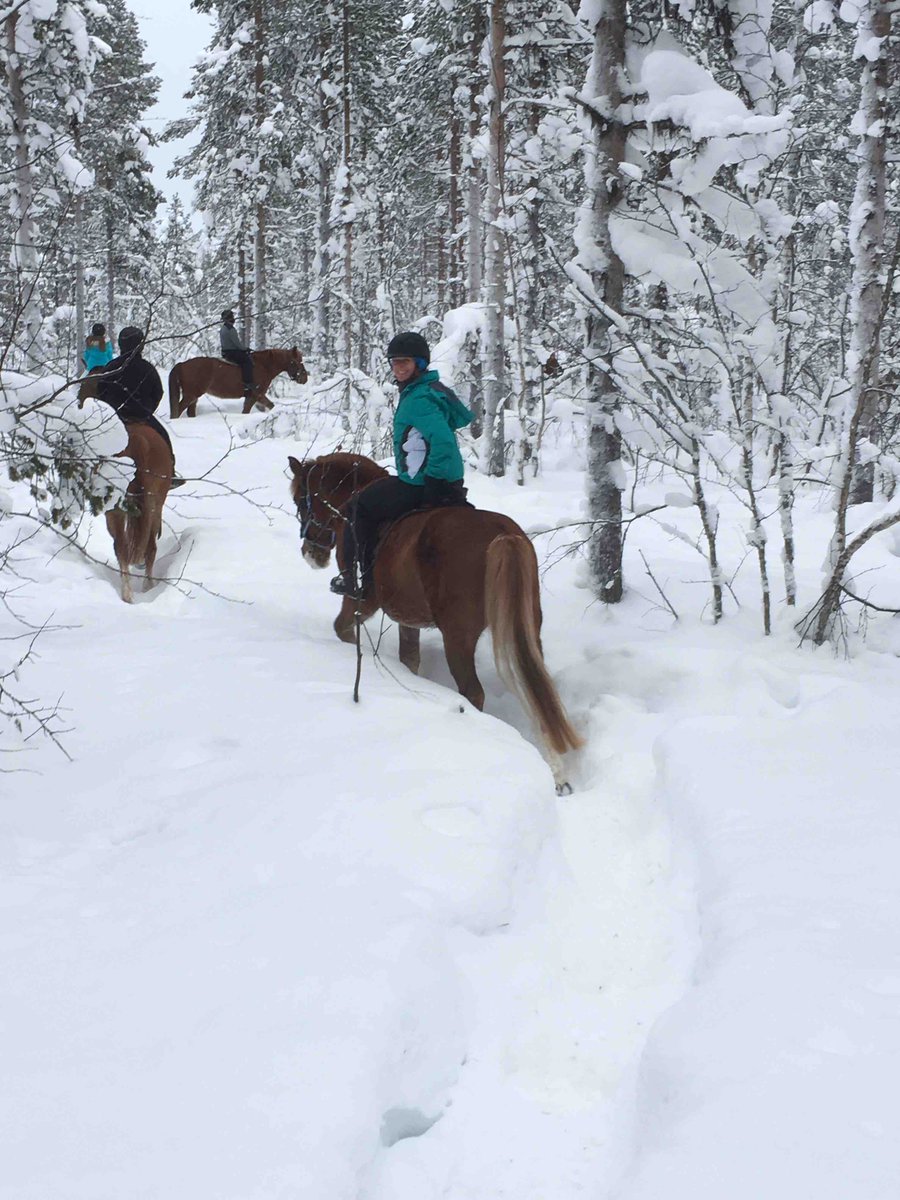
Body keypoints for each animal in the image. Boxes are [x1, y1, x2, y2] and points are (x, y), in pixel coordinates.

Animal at [105, 423, 173, 603]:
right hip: (154, 507)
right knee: (150, 548)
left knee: (121, 546)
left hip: (114, 507)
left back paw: (127, 593)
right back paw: (145, 587)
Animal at [168, 346, 308, 418]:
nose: (304, 378)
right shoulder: (257, 395)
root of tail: (182, 364)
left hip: (193, 397)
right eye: (296, 362)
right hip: (190, 395)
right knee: (178, 410)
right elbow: (255, 409)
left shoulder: (252, 396)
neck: (263, 366)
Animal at [287, 452, 582, 792]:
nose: (311, 553)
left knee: (474, 691)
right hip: (526, 627)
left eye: (300, 499)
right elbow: (409, 659)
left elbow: (343, 628)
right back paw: (557, 773)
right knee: (534, 685)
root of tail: (503, 533)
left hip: (457, 636)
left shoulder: (364, 600)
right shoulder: (408, 618)